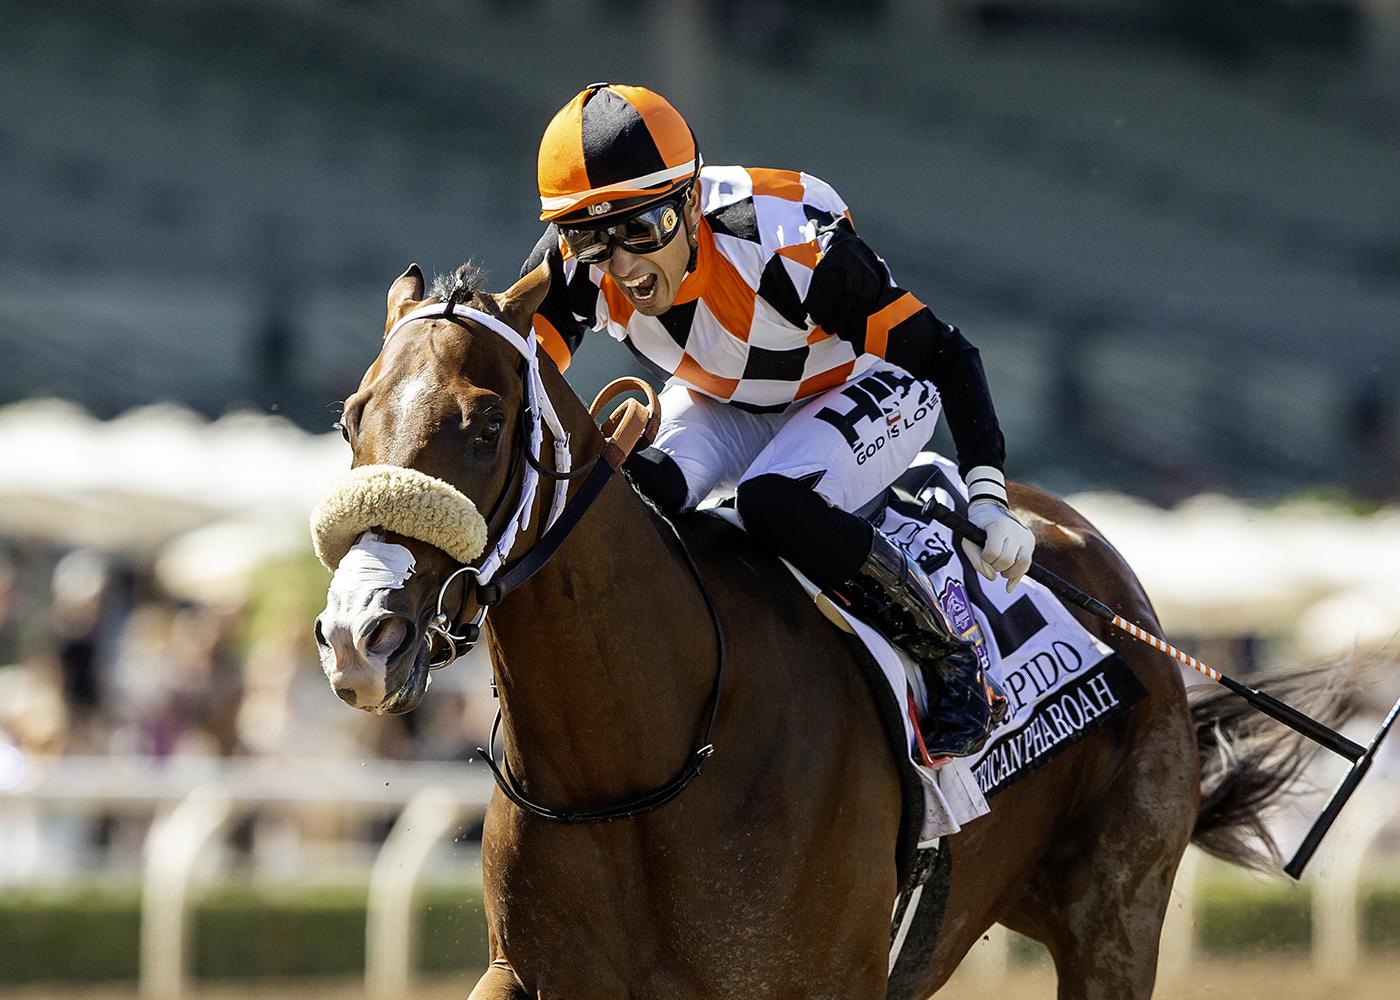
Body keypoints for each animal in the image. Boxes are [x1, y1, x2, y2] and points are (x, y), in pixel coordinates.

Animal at [311, 260, 1341, 999]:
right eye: (352, 418)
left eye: (485, 428)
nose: (363, 636)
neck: (638, 769)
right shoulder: (526, 973)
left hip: (1113, 919)